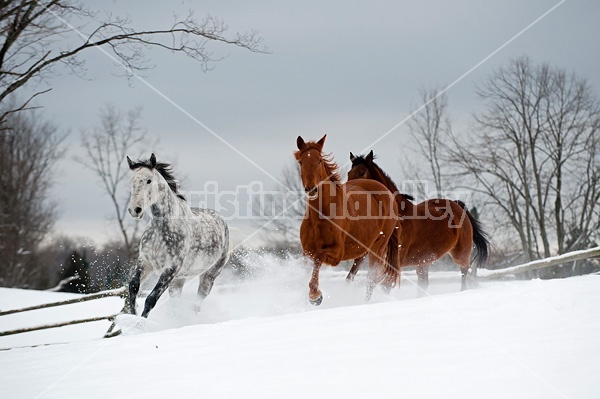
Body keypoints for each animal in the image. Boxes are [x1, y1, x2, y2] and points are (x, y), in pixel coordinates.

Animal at [126, 153, 230, 318]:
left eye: (149, 180)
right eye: (132, 181)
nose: (135, 209)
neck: (161, 230)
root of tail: (221, 220)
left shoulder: (171, 268)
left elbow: (151, 299)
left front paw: (141, 322)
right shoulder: (145, 262)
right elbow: (133, 287)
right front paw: (131, 317)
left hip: (209, 275)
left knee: (198, 301)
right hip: (179, 279)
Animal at [296, 135, 400, 306]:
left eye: (319, 160)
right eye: (300, 162)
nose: (311, 189)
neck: (320, 216)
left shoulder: (336, 253)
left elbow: (318, 258)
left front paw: (315, 296)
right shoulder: (306, 251)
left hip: (378, 247)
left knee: (370, 279)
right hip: (363, 248)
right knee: (353, 273)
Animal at [344, 150, 490, 294]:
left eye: (362, 173)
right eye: (349, 173)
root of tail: (458, 205)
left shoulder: (394, 259)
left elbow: (383, 285)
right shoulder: (367, 253)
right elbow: (352, 276)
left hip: (460, 253)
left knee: (465, 272)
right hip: (422, 262)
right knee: (424, 283)